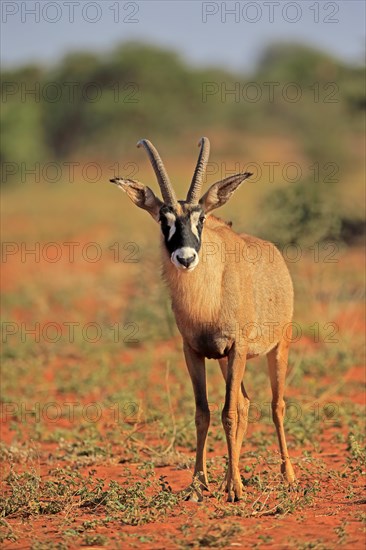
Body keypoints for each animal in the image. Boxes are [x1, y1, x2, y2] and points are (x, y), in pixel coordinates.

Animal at [110, 139, 296, 504]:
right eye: (163, 218)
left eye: (202, 217)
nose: (185, 258)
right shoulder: (194, 352)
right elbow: (203, 413)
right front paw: (199, 484)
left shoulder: (237, 348)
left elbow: (228, 413)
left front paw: (235, 488)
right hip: (225, 361)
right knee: (245, 402)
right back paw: (226, 478)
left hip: (277, 347)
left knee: (275, 405)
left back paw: (288, 476)